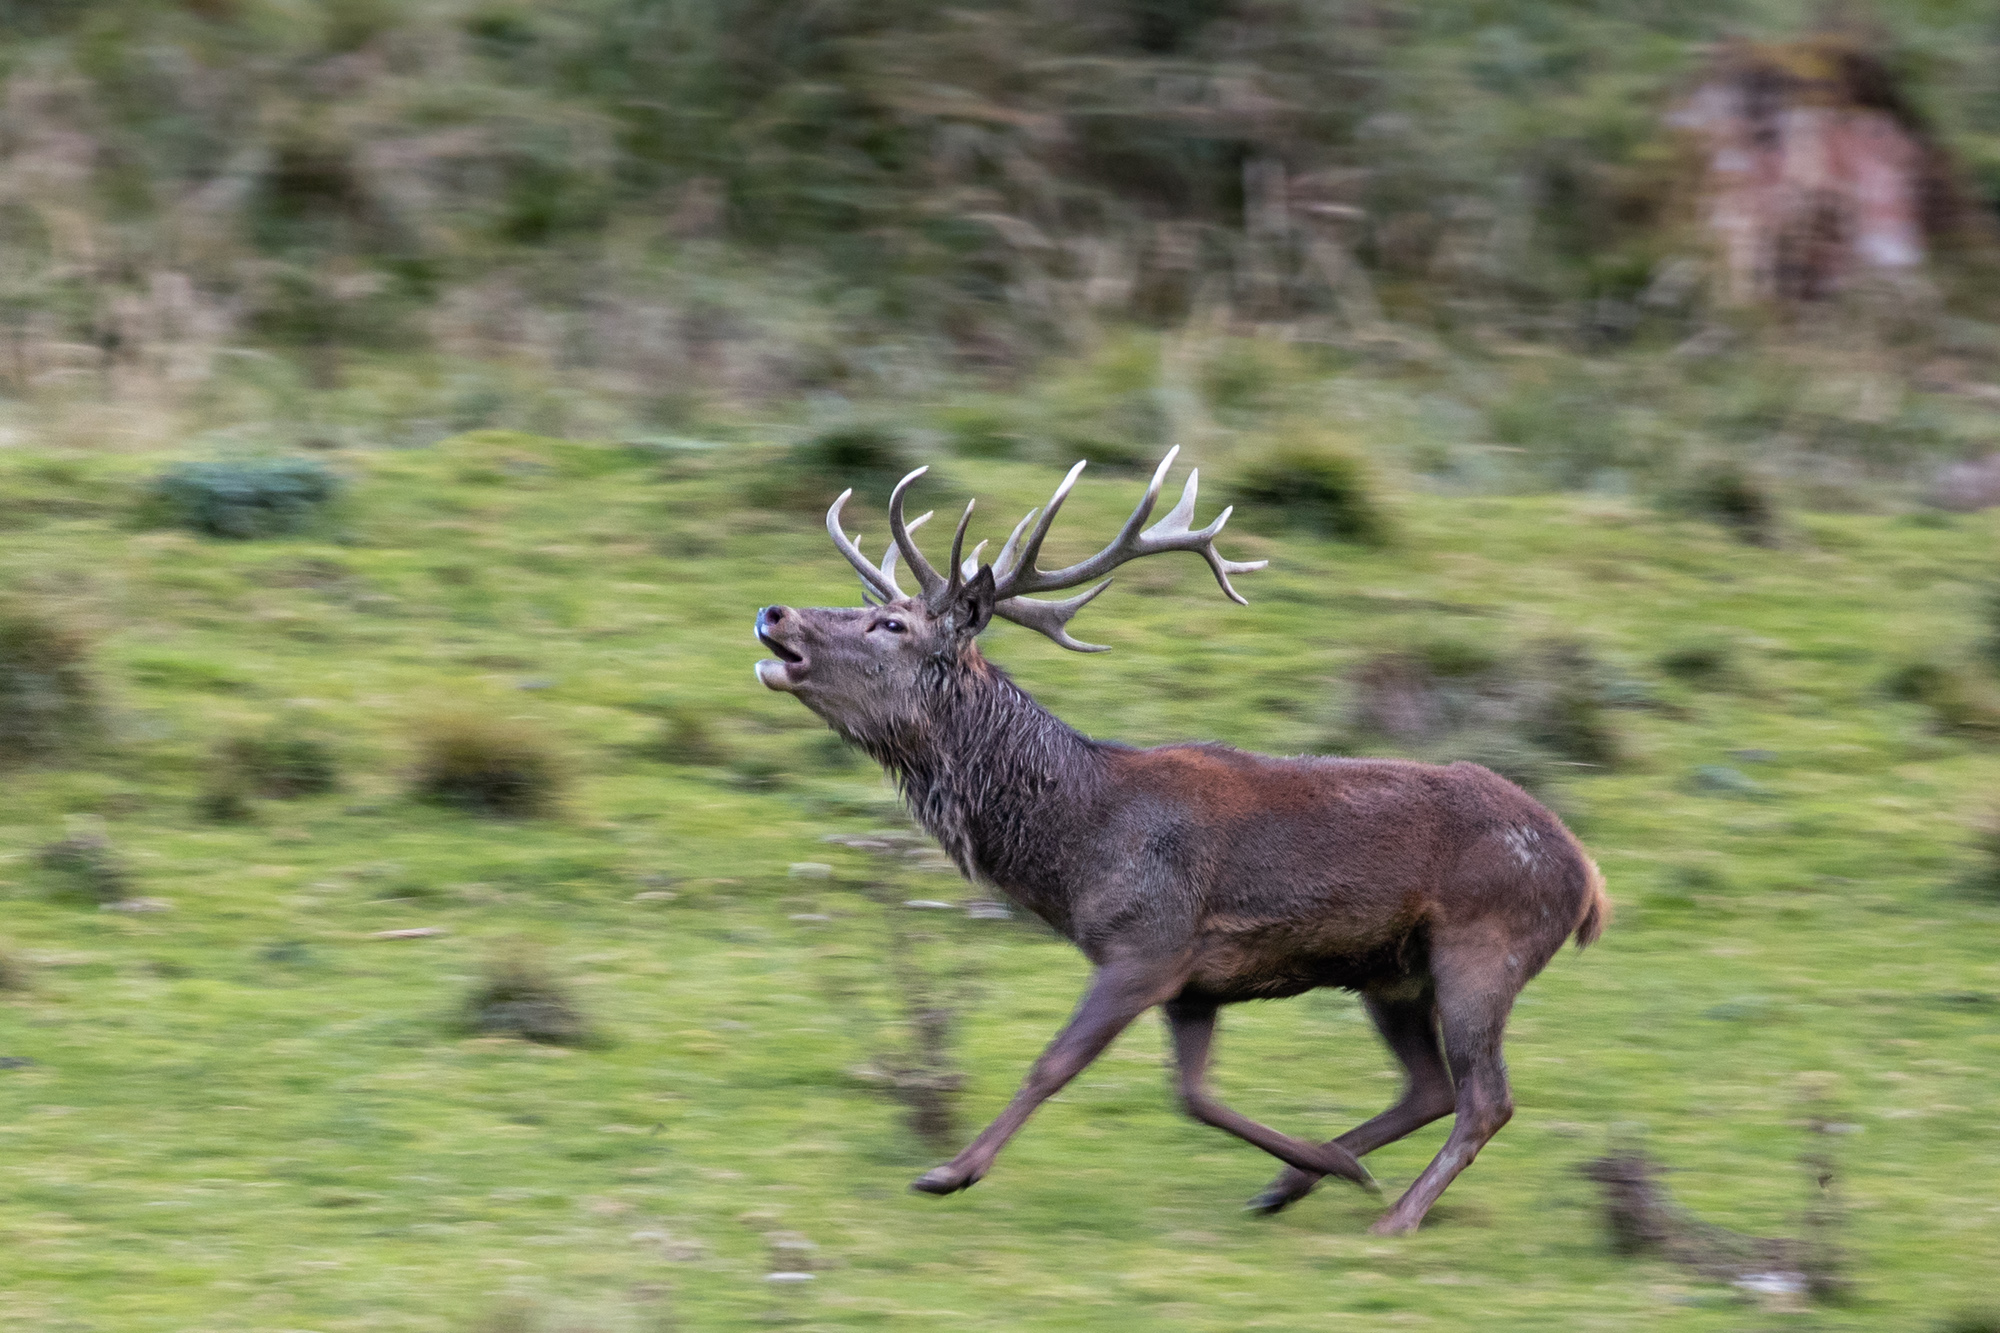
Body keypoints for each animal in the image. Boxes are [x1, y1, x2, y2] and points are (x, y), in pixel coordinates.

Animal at [752, 446, 1608, 1224]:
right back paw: (1303, 1182)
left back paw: (1395, 1218)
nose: (774, 612)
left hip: (1484, 946)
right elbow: (1194, 1094)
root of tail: (1590, 879)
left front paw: (950, 1171)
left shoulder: (1144, 942)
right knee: (1429, 1087)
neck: (1076, 848)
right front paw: (1322, 1163)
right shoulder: (1194, 982)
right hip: (1392, 973)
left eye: (890, 622)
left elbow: (1053, 1064)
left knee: (1485, 1097)